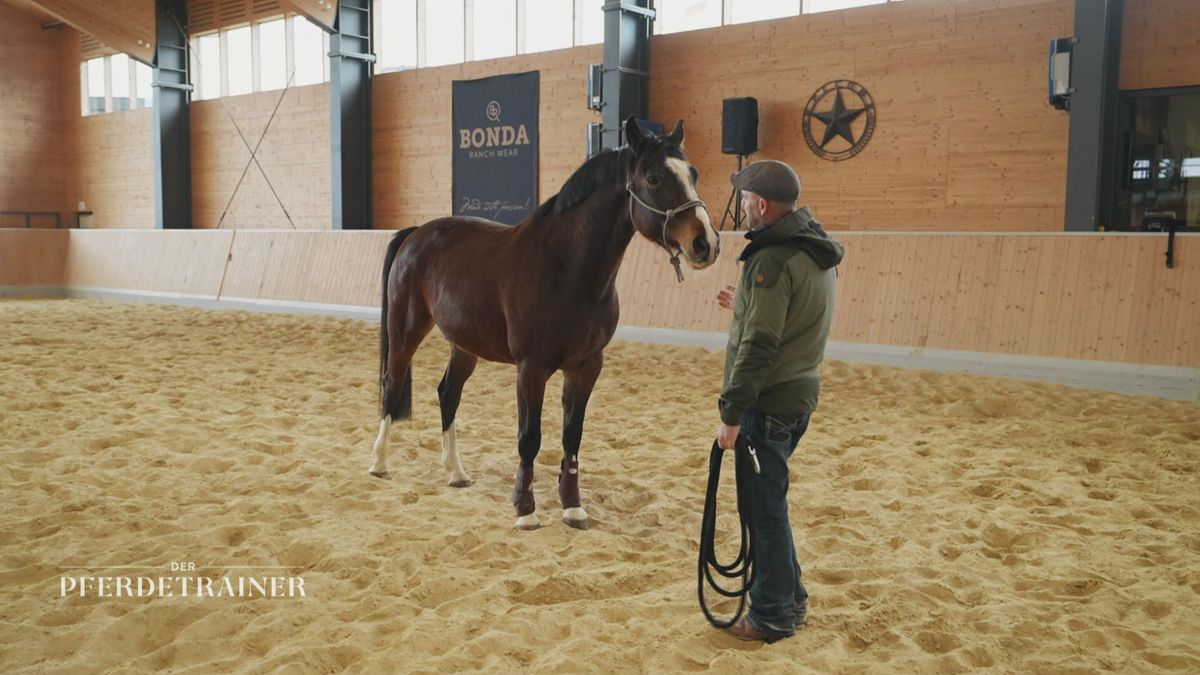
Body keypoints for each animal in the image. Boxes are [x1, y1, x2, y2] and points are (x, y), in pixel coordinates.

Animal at [369, 115, 715, 528]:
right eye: (654, 177)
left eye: (693, 174)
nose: (705, 243)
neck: (567, 270)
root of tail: (415, 234)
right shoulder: (531, 369)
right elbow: (529, 437)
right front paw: (525, 509)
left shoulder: (586, 366)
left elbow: (572, 435)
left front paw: (573, 506)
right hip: (405, 331)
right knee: (392, 385)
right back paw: (379, 464)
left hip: (464, 346)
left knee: (448, 393)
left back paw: (456, 472)